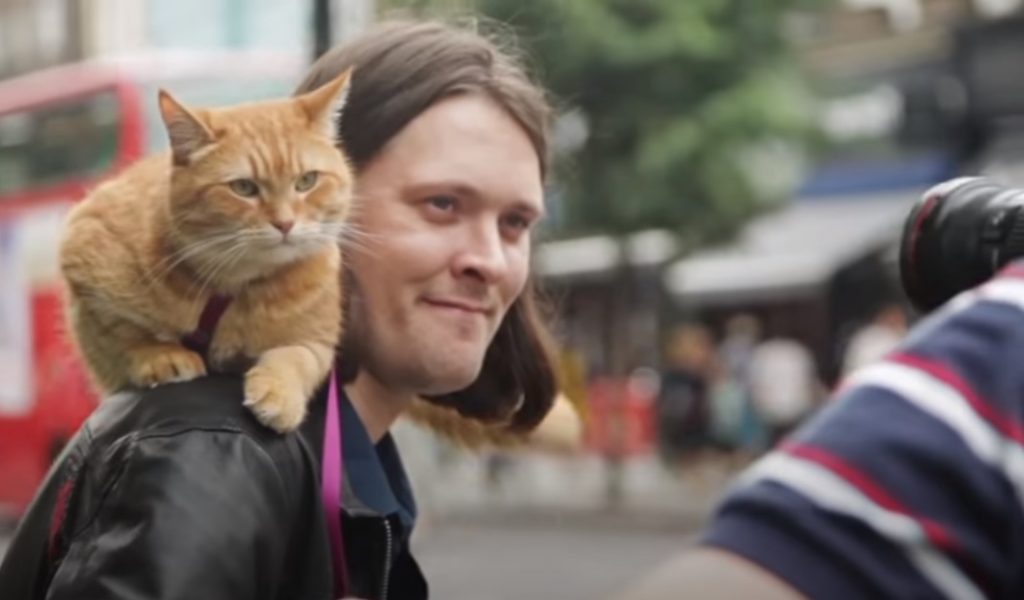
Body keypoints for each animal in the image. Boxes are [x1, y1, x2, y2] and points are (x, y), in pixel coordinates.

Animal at [60, 71, 356, 430]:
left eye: (307, 181)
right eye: (243, 187)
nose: (285, 223)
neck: (233, 287)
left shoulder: (318, 341)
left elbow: (296, 356)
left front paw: (279, 392)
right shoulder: (83, 262)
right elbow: (124, 335)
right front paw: (161, 354)